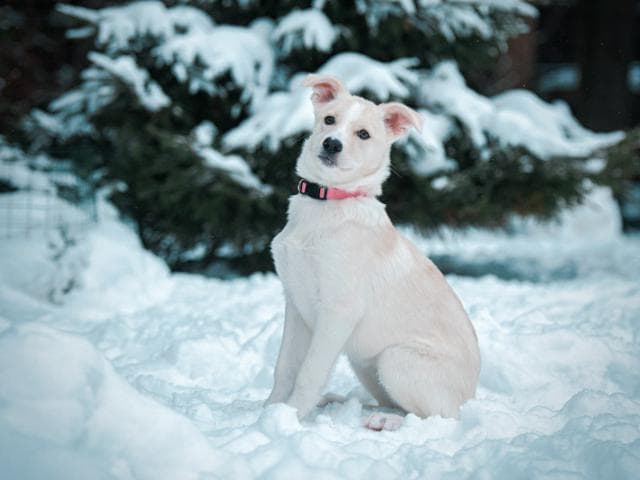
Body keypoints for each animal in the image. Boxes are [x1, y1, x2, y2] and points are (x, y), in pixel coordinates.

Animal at [264, 76, 480, 432]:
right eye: (329, 120)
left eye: (363, 134)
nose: (332, 144)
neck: (327, 203)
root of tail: (470, 397)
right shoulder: (296, 304)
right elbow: (285, 366)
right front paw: (269, 410)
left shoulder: (338, 311)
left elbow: (309, 371)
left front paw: (290, 416)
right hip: (365, 363)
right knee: (390, 402)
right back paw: (341, 403)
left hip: (395, 359)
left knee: (439, 417)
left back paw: (384, 421)